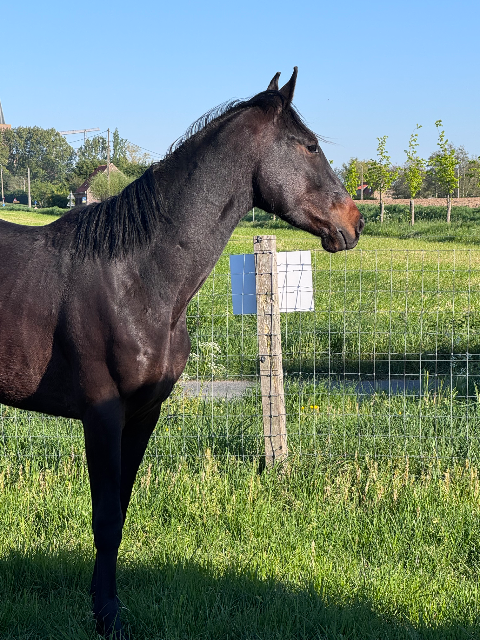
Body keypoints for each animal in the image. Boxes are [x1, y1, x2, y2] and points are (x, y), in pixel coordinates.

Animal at [0, 68, 364, 638]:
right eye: (309, 145)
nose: (355, 221)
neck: (137, 277)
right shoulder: (102, 415)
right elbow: (105, 516)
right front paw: (108, 617)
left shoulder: (143, 414)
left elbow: (121, 509)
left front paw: (102, 602)